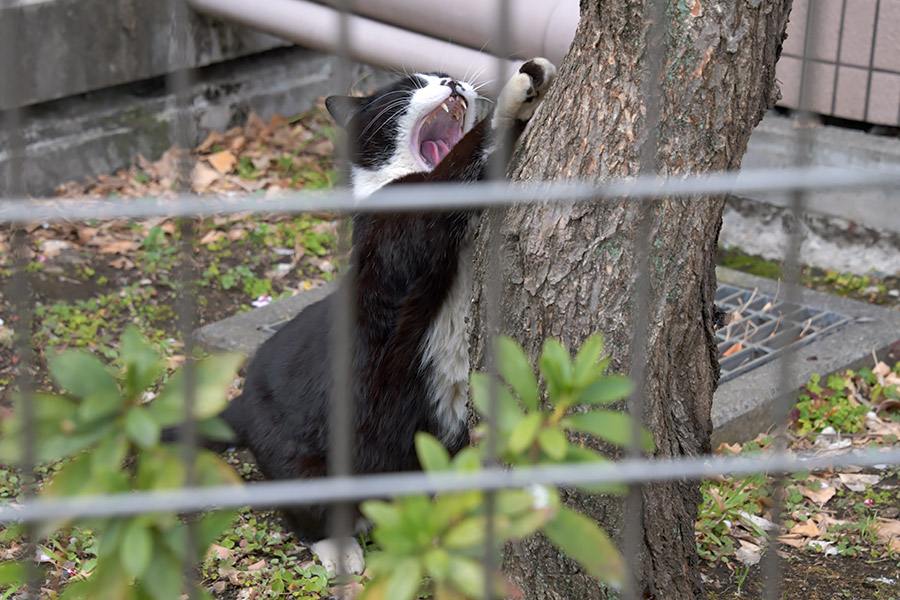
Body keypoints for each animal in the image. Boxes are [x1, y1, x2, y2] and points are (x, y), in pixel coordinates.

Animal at [212, 58, 556, 576]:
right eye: (411, 84)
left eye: (441, 77)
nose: (451, 83)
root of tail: (240, 400)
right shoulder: (398, 226)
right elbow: (458, 165)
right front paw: (522, 86)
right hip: (302, 464)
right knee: (307, 516)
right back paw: (343, 550)